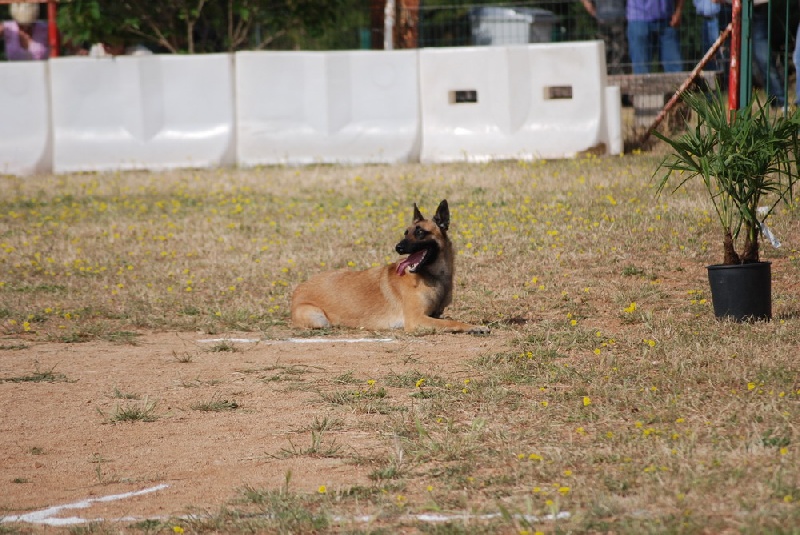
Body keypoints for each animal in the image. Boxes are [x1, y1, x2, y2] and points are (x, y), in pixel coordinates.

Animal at [290, 200, 488, 336]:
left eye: (420, 232)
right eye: (406, 233)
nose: (398, 247)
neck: (433, 276)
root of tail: (298, 289)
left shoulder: (433, 315)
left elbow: (447, 319)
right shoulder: (416, 319)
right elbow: (451, 322)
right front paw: (473, 327)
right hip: (318, 317)